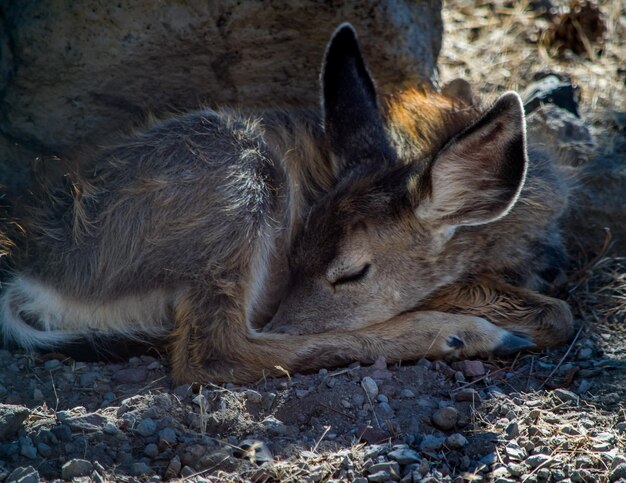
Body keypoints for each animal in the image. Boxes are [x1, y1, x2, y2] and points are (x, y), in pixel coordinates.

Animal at [0, 24, 572, 384]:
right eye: (295, 255)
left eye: (349, 273)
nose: (282, 318)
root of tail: (34, 277)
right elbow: (558, 313)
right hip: (238, 190)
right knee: (214, 353)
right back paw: (465, 335)